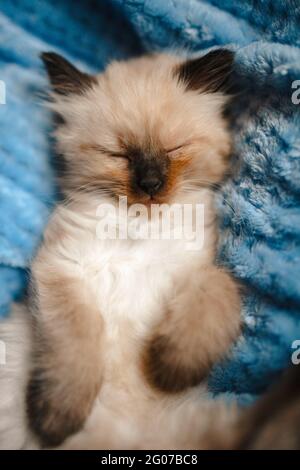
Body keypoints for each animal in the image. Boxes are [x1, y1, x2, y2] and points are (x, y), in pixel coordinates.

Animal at [0, 49, 241, 450]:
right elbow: (79, 341)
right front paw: (56, 421)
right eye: (118, 155)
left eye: (174, 149)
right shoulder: (65, 269)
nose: (150, 184)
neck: (140, 225)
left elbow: (219, 289)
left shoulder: (194, 269)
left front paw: (170, 370)